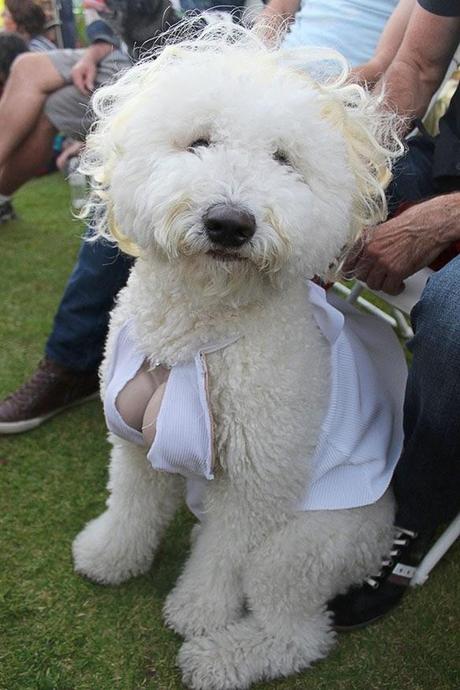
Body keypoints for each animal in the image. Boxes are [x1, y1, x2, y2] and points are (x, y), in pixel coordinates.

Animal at [70, 24, 404, 688]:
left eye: (284, 159)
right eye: (199, 141)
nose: (230, 222)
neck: (194, 331)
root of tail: (384, 535)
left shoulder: (257, 476)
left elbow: (222, 555)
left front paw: (196, 613)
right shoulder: (135, 443)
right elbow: (131, 505)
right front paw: (109, 556)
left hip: (304, 550)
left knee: (298, 632)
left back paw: (218, 658)